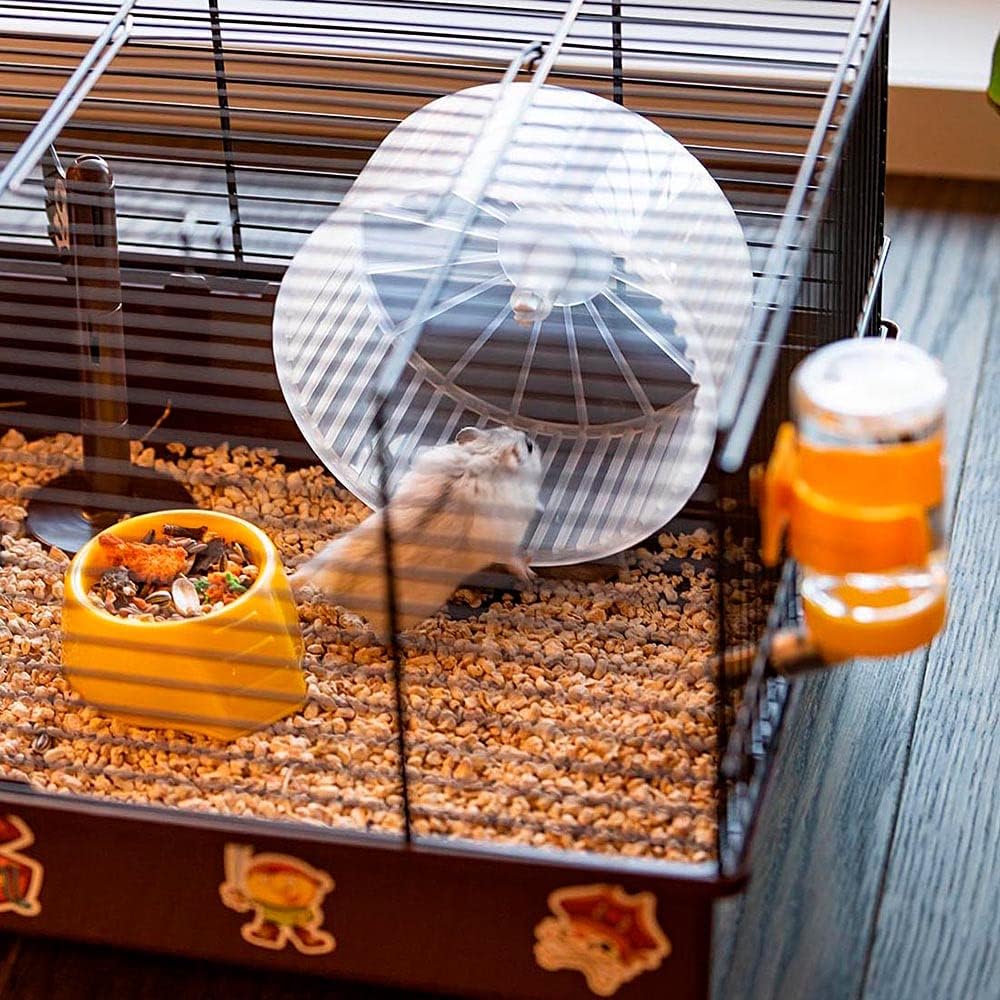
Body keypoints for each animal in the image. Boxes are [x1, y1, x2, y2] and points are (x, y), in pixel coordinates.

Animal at [290, 425, 543, 643]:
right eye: (530, 446)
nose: (535, 441)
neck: (485, 457)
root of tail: (328, 577)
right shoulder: (506, 542)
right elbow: (514, 559)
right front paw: (530, 571)